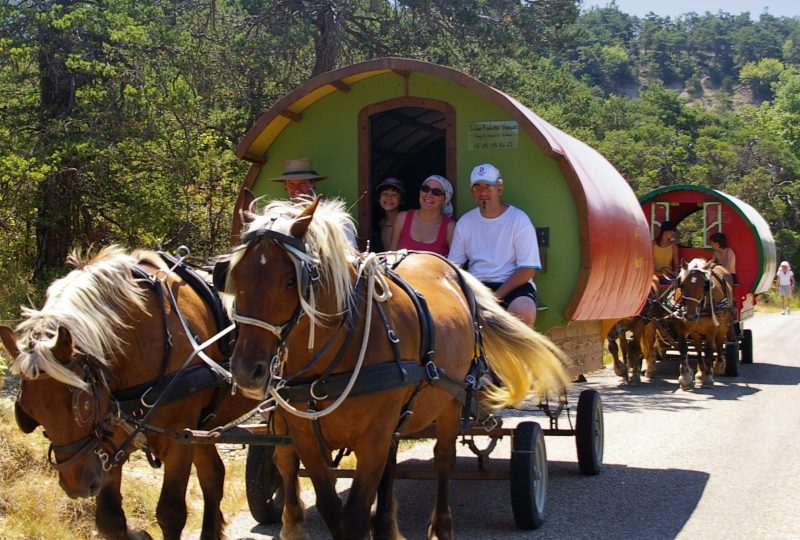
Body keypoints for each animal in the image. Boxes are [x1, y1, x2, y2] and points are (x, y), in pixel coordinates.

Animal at [0, 246, 256, 540]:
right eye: (30, 411)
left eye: (83, 406)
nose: (78, 485)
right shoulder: (109, 439)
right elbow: (109, 520)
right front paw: (140, 534)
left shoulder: (181, 437)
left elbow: (171, 513)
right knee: (214, 474)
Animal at [222, 195, 568, 540]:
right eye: (234, 277)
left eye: (290, 280)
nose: (245, 370)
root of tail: (451, 269)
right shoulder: (306, 436)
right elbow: (330, 507)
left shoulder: (373, 436)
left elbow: (355, 516)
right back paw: (385, 525)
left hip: (451, 398)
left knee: (444, 460)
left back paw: (442, 525)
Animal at [672, 258, 736, 388]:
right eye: (683, 285)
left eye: (703, 286)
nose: (690, 316)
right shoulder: (681, 326)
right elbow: (684, 348)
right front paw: (686, 377)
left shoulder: (712, 328)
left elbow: (709, 349)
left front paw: (708, 376)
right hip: (695, 330)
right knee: (698, 347)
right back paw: (700, 371)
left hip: (723, 324)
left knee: (719, 342)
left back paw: (718, 364)